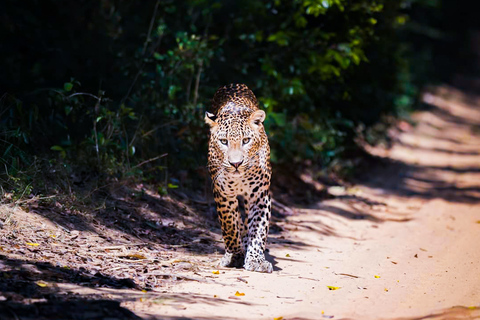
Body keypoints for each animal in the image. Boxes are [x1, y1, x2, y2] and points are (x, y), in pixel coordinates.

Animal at [203, 83, 274, 272]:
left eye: (246, 140)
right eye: (223, 141)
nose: (236, 163)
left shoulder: (259, 195)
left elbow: (258, 229)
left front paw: (256, 259)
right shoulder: (223, 193)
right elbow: (229, 225)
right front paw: (234, 255)